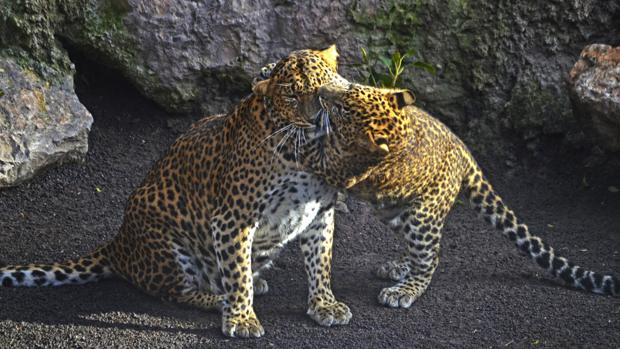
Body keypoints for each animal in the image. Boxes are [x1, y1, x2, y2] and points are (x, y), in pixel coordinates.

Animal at [0, 46, 388, 338]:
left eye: (325, 86)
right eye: (292, 94)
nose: (317, 115)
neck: (306, 150)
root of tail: (117, 245)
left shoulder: (319, 212)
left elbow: (320, 262)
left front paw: (324, 304)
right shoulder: (233, 218)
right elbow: (237, 273)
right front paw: (241, 318)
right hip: (166, 241)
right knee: (176, 291)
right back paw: (219, 299)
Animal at [298, 81, 616, 308]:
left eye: (344, 110)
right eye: (348, 89)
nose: (322, 92)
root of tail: (463, 149)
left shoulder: (335, 165)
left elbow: (312, 150)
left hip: (423, 214)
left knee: (430, 257)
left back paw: (404, 291)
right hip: (397, 209)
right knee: (423, 248)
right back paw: (400, 267)